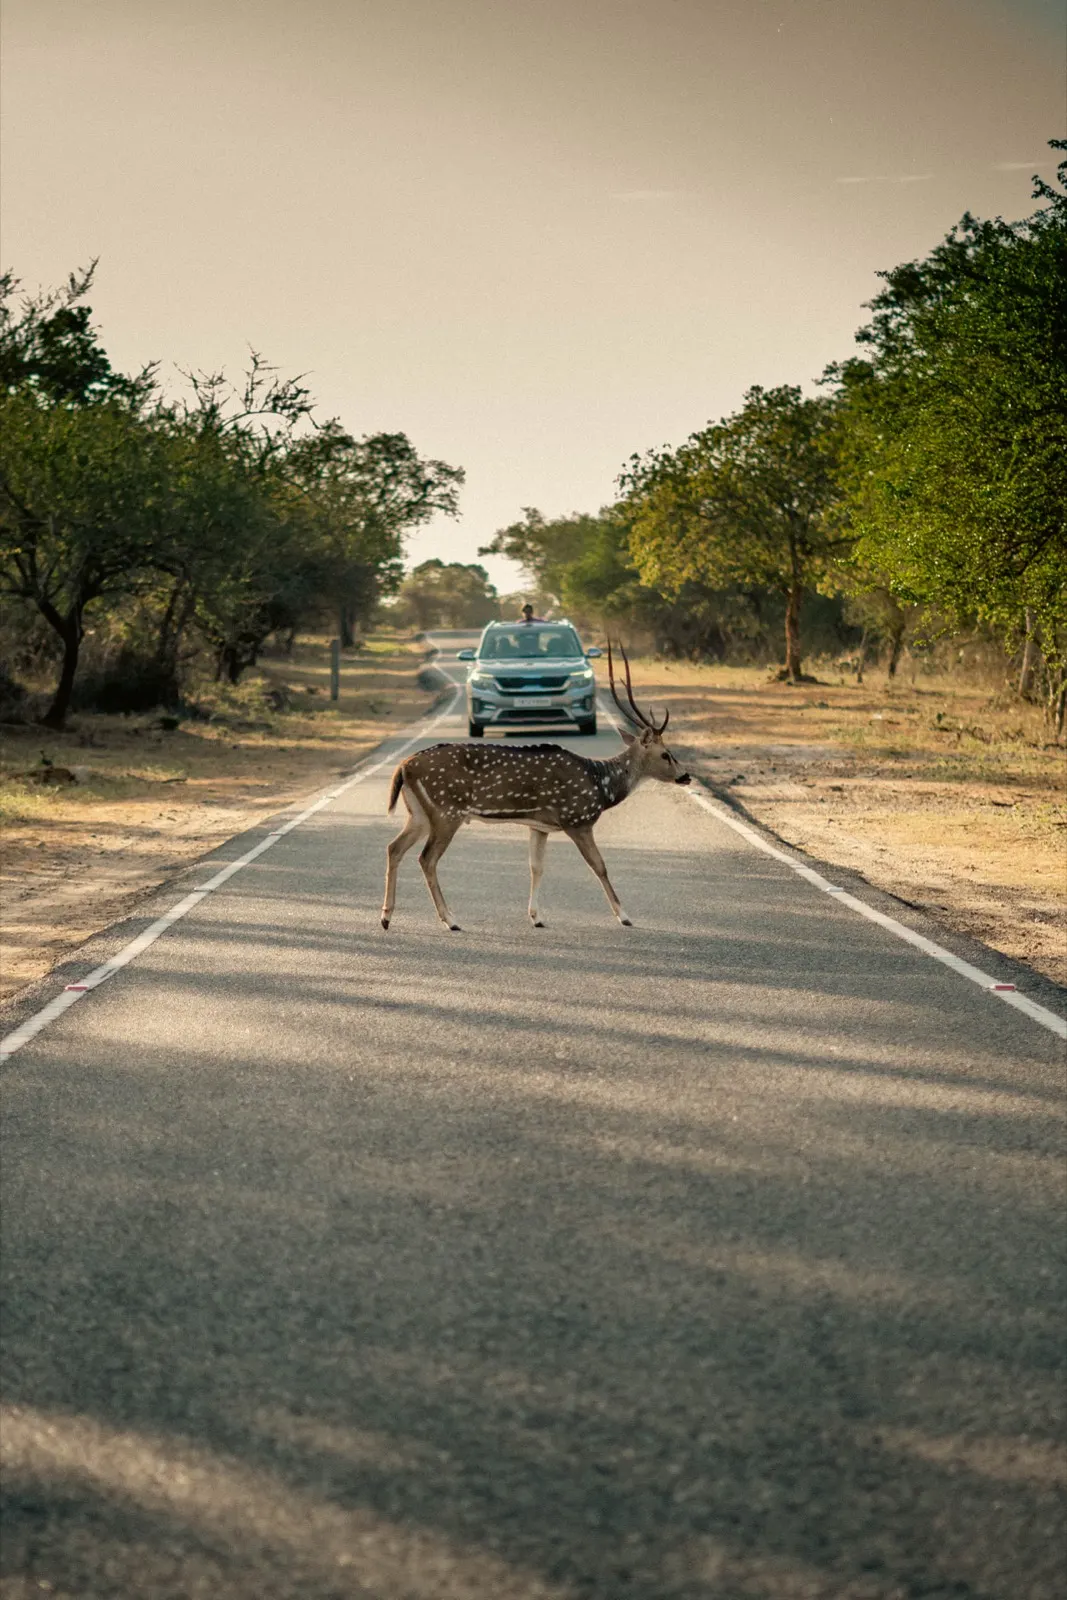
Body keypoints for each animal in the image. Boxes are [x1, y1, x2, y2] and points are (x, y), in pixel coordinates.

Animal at [381, 643, 690, 931]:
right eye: (666, 754)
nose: (685, 775)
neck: (601, 785)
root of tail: (404, 767)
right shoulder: (577, 820)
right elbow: (599, 866)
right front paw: (624, 916)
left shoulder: (539, 825)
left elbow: (536, 867)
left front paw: (536, 917)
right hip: (446, 812)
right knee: (426, 858)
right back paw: (450, 920)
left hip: (419, 813)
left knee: (394, 847)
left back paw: (386, 917)